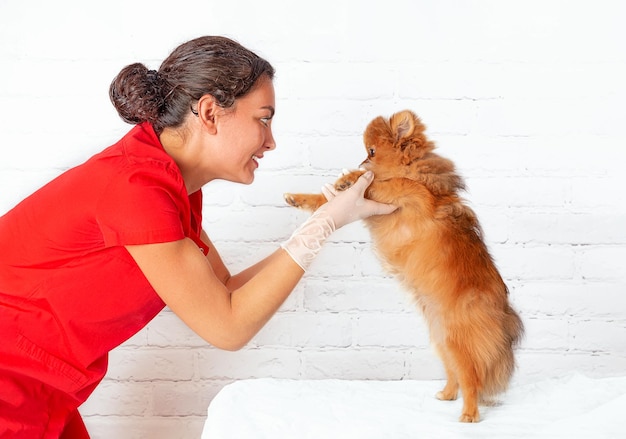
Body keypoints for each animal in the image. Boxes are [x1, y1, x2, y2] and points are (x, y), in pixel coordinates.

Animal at [282, 109, 520, 422]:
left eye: (371, 151)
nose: (361, 162)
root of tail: (501, 308)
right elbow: (328, 199)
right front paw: (303, 197)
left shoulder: (414, 194)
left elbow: (391, 182)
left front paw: (353, 177)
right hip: (441, 339)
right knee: (454, 372)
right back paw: (446, 394)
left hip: (458, 340)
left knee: (471, 378)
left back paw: (469, 414)